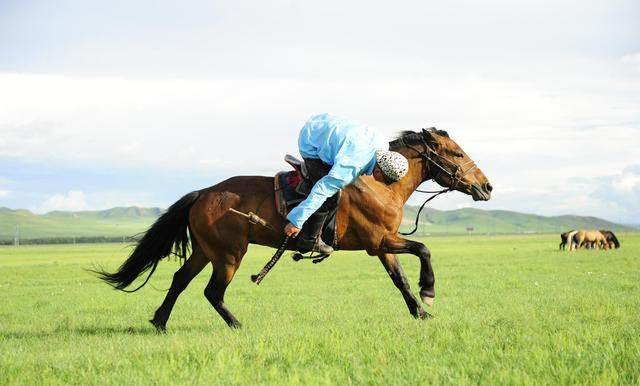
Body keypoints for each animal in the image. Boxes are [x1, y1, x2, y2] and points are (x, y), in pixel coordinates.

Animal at [97, 128, 492, 330]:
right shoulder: (380, 240)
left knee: (180, 280)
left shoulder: (381, 246)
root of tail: (203, 193)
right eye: (456, 153)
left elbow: (401, 280)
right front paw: (429, 293)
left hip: (206, 251)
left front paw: (421, 312)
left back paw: (160, 322)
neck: (380, 183)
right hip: (229, 254)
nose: (486, 186)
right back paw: (237, 325)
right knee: (212, 291)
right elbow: (424, 249)